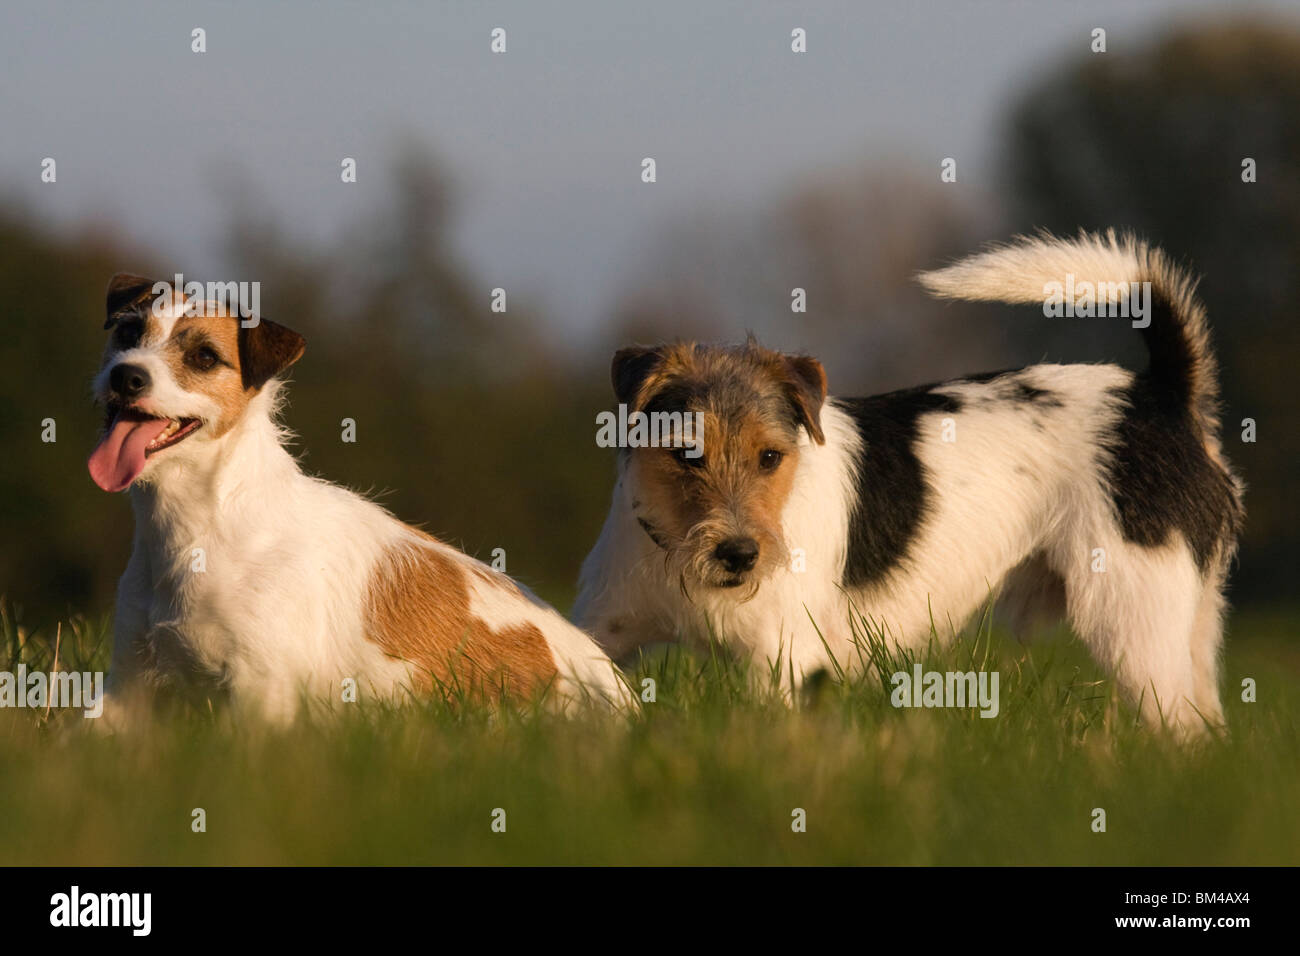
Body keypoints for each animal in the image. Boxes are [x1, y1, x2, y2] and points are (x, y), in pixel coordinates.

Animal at [90, 274, 629, 723]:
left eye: (204, 356)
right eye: (128, 333)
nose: (126, 376)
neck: (196, 526)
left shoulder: (260, 692)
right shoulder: (128, 687)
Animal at [574, 234, 1242, 738]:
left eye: (770, 457)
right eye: (686, 453)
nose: (739, 555)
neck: (681, 561)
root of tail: (1162, 397)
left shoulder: (778, 664)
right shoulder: (603, 628)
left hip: (1135, 619)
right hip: (1190, 621)